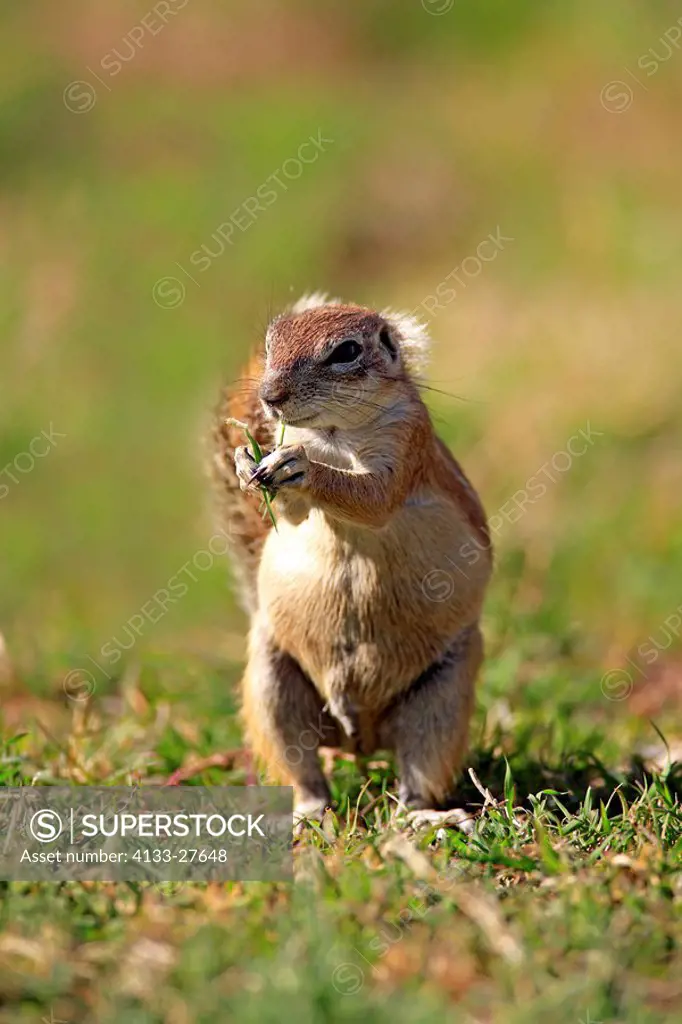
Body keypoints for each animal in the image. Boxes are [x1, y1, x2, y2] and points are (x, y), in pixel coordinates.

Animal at [209, 292, 491, 819]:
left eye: (345, 352)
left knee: (419, 772)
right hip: (273, 686)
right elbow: (291, 515)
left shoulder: (406, 442)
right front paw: (245, 462)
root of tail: (360, 739)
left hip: (440, 700)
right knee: (303, 770)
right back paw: (306, 814)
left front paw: (304, 469)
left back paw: (423, 818)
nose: (270, 396)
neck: (333, 436)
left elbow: (372, 498)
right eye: (270, 344)